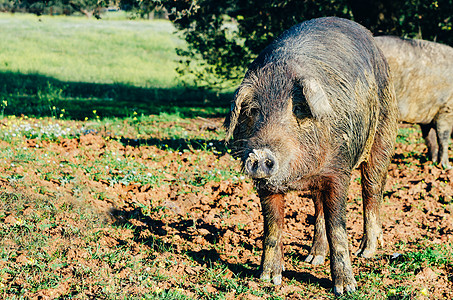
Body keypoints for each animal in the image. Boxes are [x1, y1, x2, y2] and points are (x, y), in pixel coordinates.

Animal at [222, 17, 396, 296]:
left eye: (298, 109)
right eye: (253, 110)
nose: (260, 153)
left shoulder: (339, 171)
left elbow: (337, 226)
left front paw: (346, 289)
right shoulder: (267, 185)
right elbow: (273, 226)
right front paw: (268, 279)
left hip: (385, 134)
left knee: (372, 191)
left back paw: (367, 252)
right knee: (319, 208)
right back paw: (312, 259)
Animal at [374, 35, 452, 169]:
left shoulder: (428, 113)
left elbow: (430, 138)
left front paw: (432, 161)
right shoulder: (446, 107)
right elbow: (443, 136)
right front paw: (446, 166)